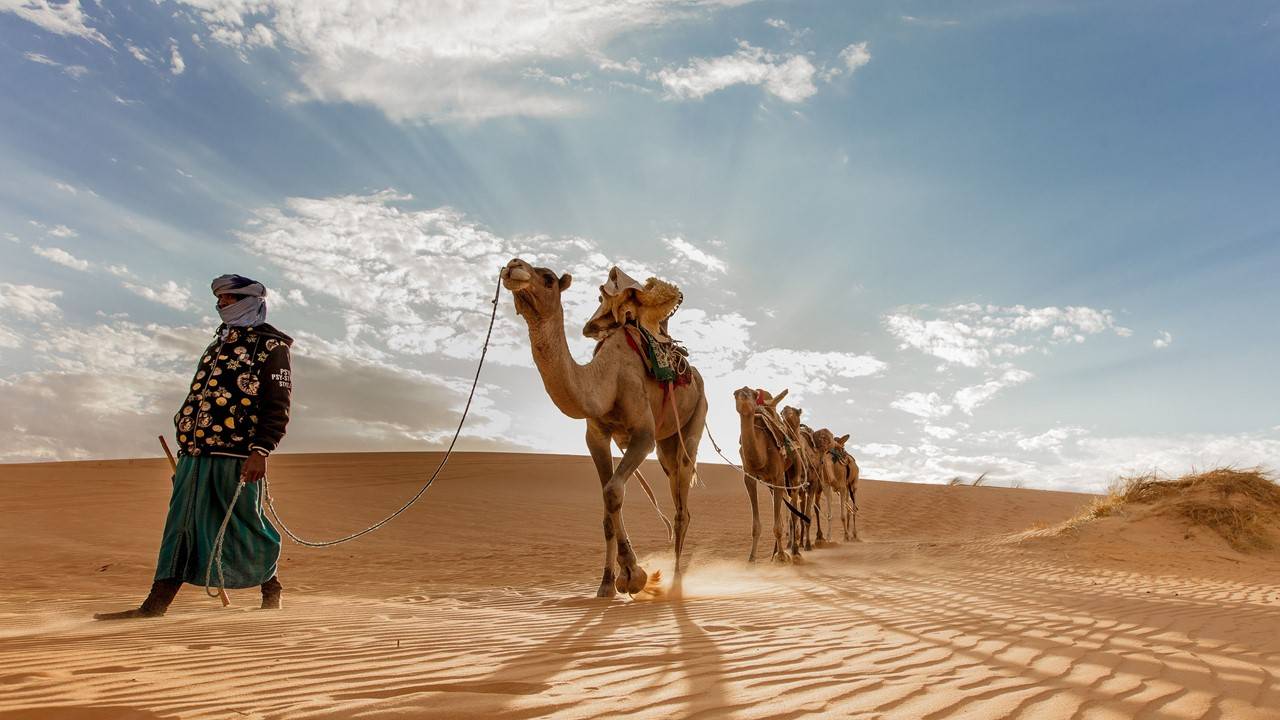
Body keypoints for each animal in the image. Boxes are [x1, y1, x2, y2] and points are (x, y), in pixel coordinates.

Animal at [499, 257, 706, 594]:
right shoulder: (596, 435)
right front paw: (608, 584)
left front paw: (634, 575)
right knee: (672, 476)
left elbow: (612, 492)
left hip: (695, 417)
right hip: (665, 445)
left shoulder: (643, 434)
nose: (513, 265)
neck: (605, 379)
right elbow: (608, 508)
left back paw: (676, 584)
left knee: (682, 505)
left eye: (548, 278)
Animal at [732, 386, 798, 561]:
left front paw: (781, 557)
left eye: (754, 394)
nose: (744, 396)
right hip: (770, 483)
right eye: (735, 393)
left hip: (793, 474)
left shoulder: (778, 477)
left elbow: (778, 524)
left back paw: (794, 550)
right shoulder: (749, 478)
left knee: (794, 505)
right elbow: (756, 525)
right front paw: (751, 559)